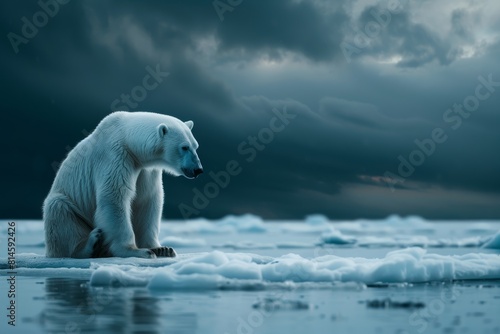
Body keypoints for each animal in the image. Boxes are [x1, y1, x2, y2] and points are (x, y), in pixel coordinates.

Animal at [43, 112, 202, 258]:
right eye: (184, 147)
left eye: (196, 146)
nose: (198, 169)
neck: (128, 140)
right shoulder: (116, 156)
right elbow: (114, 197)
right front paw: (136, 251)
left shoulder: (146, 170)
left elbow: (148, 200)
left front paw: (162, 249)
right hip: (67, 204)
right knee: (59, 211)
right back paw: (90, 244)